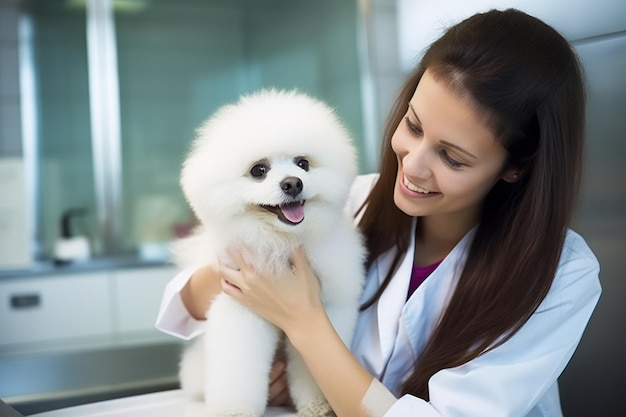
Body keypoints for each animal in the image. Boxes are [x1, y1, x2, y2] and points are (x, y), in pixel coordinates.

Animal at [172, 88, 366, 416]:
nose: (293, 184)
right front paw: (234, 410)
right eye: (258, 170)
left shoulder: (326, 308)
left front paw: (318, 404)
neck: (281, 241)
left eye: (303, 164)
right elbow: (239, 368)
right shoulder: (241, 309)